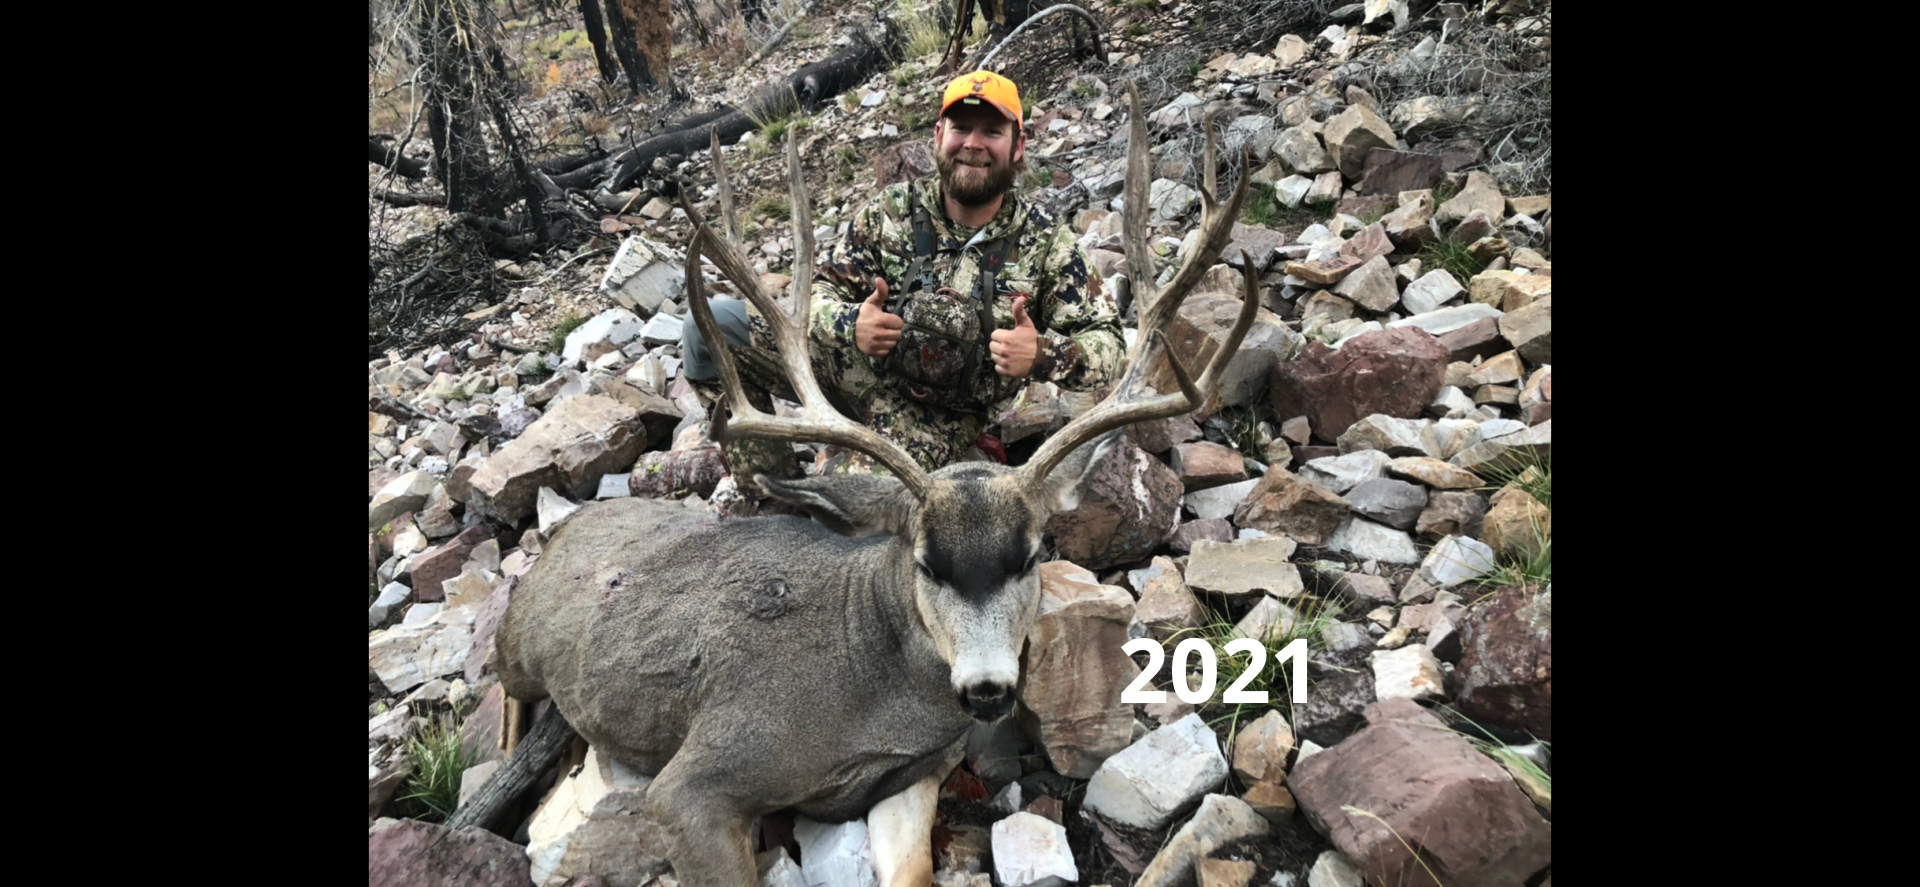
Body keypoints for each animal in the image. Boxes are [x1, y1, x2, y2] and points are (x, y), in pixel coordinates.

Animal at [489, 81, 1257, 885]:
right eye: (925, 564)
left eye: (1030, 557)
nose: (987, 690)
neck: (872, 691)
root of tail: (567, 525)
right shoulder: (699, 774)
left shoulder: (912, 773)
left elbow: (912, 867)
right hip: (519, 645)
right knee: (508, 699)